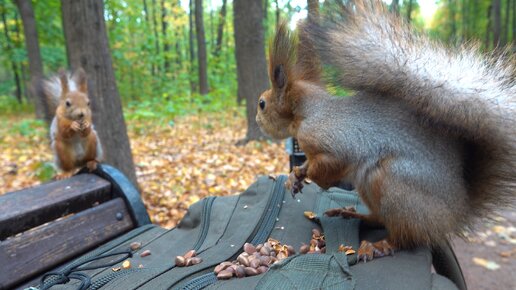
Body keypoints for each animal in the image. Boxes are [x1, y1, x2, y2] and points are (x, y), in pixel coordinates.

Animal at [256, 0, 512, 262]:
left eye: (262, 104)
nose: (256, 120)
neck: (309, 112)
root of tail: (455, 213)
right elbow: (307, 163)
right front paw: (295, 175)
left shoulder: (333, 143)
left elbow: (328, 165)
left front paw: (311, 176)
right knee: (380, 219)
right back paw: (352, 215)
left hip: (393, 184)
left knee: (406, 237)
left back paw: (380, 245)